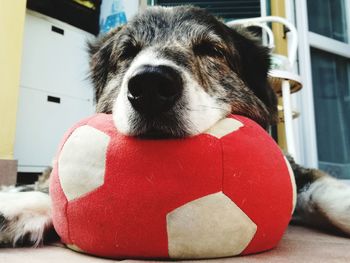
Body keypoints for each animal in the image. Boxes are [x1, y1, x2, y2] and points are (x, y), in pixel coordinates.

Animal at [0, 5, 350, 250]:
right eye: (127, 52)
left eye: (212, 50)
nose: (151, 86)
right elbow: (49, 190)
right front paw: (17, 207)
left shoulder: (293, 168)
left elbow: (325, 193)